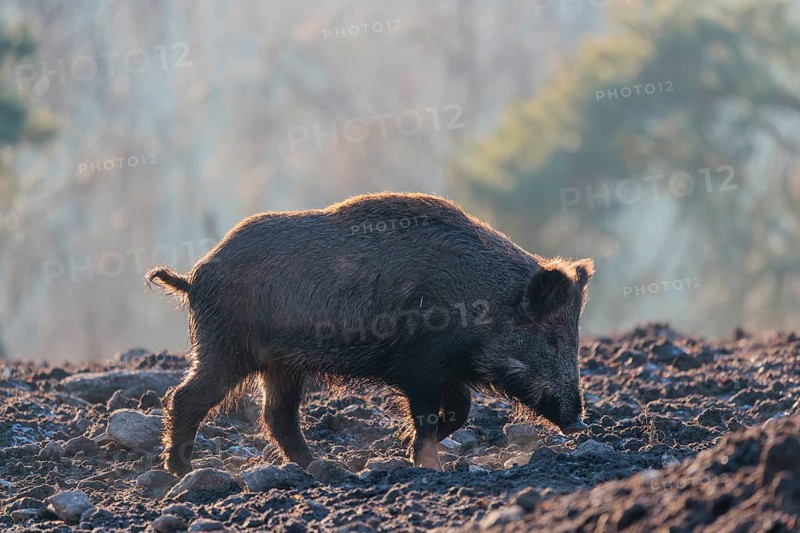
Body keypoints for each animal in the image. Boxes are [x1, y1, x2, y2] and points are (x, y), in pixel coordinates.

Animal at [146, 192, 594, 476]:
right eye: (551, 339)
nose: (578, 423)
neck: (479, 300)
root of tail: (194, 276)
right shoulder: (419, 366)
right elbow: (429, 416)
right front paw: (429, 465)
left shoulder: (447, 368)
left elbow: (461, 410)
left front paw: (408, 449)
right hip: (225, 347)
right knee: (186, 397)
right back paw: (182, 470)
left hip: (280, 365)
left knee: (276, 415)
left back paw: (321, 468)